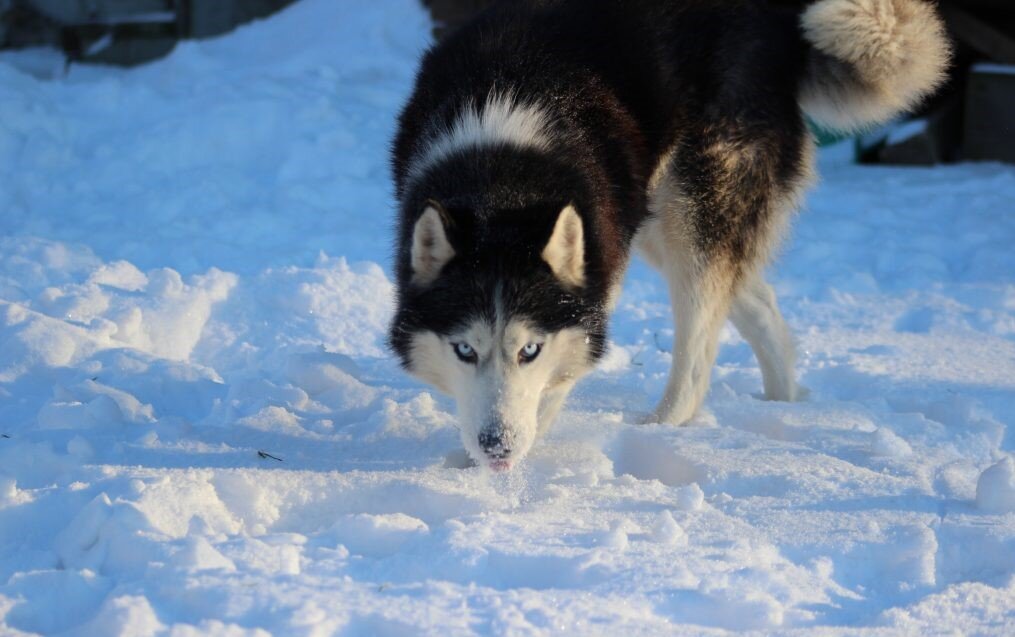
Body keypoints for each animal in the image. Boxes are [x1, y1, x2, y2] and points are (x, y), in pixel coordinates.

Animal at [387, 0, 950, 468]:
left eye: (531, 350)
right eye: (464, 350)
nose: (497, 446)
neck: (504, 170)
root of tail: (778, 21)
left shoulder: (599, 275)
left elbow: (554, 385)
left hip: (692, 216)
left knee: (698, 354)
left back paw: (659, 427)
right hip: (658, 222)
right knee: (759, 304)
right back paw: (781, 406)